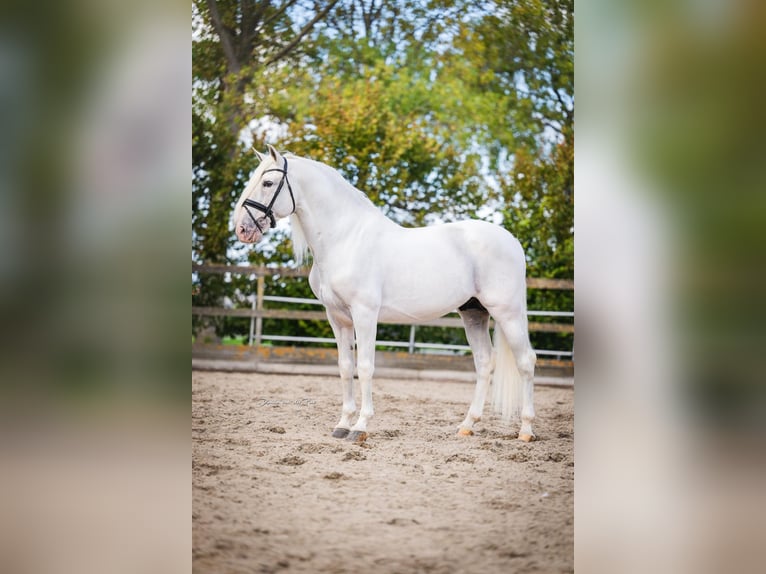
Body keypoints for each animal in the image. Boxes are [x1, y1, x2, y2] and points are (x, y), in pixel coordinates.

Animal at [233, 145, 537, 443]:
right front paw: (342, 425)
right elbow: (345, 367)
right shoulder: (337, 318)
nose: (242, 230)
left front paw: (360, 427)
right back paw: (467, 425)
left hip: (507, 313)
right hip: (474, 312)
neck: (346, 238)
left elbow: (365, 367)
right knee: (484, 363)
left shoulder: (365, 314)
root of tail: (512, 241)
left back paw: (526, 430)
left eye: (268, 183)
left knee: (526, 361)